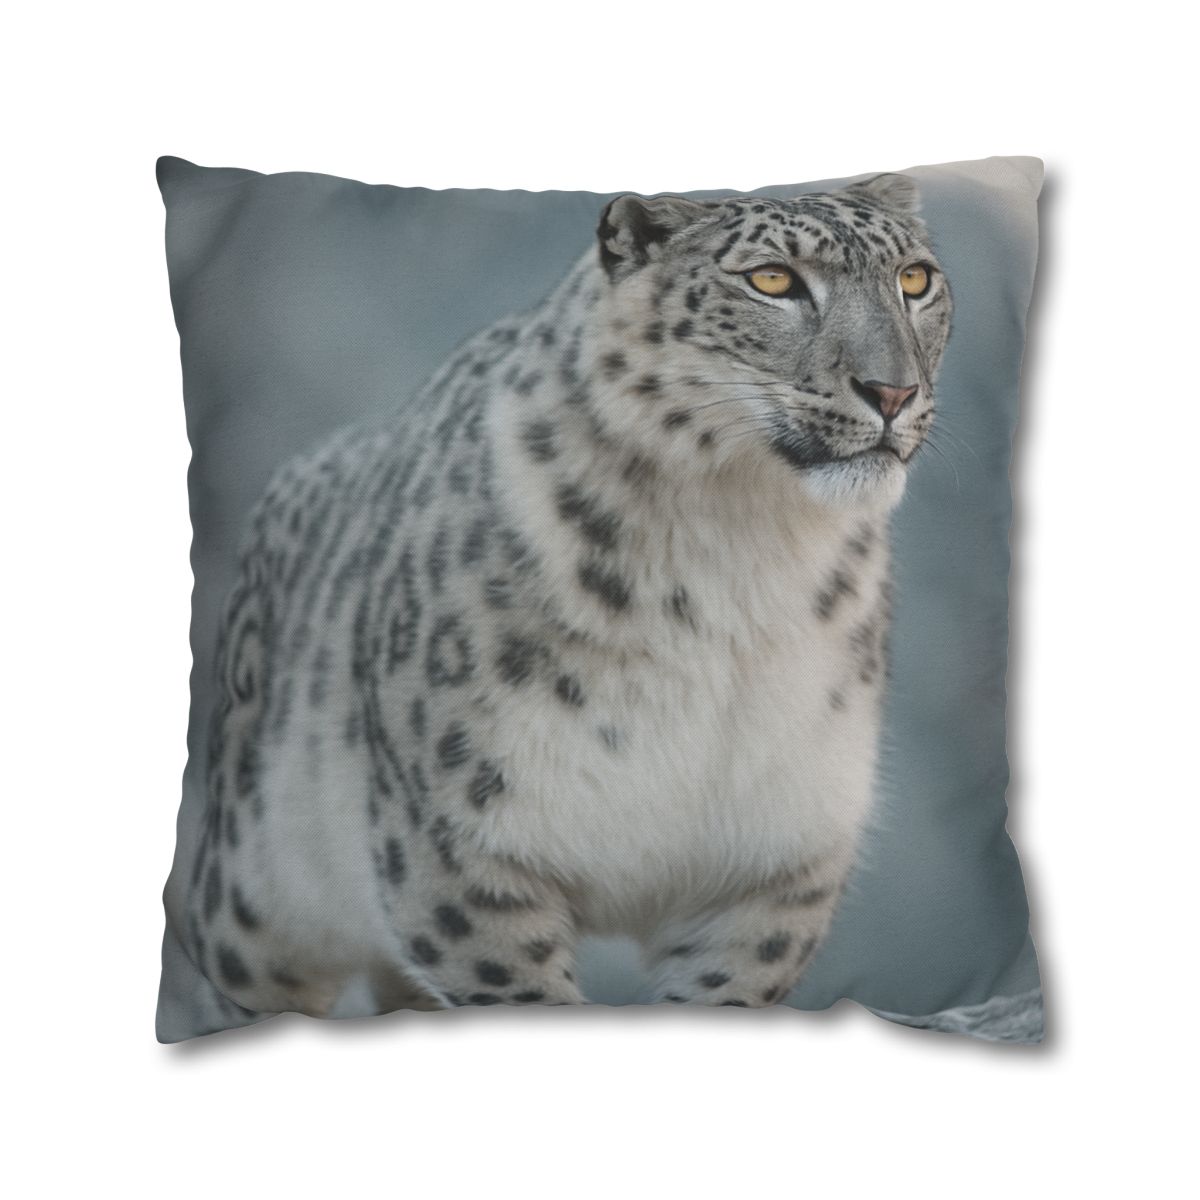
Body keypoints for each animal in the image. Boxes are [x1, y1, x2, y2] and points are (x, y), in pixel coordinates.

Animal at [172, 172, 953, 1018]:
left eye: (915, 280)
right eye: (773, 280)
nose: (892, 390)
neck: (744, 555)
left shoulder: (776, 863)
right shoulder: (462, 844)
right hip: (257, 892)